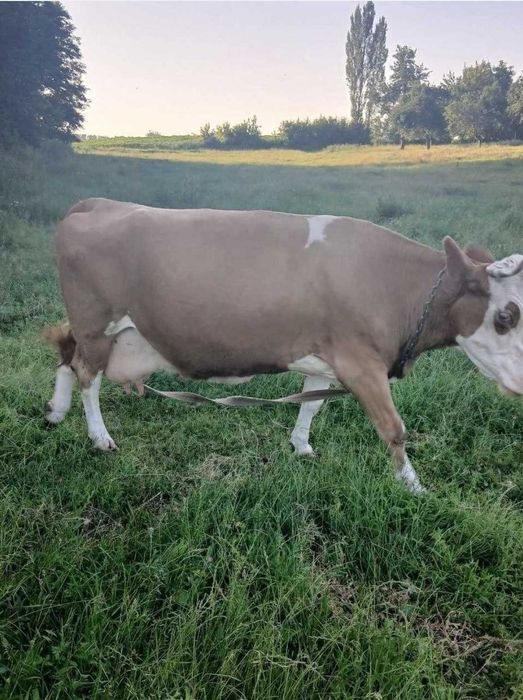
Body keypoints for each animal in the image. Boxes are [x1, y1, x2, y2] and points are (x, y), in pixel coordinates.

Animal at [44, 198, 523, 493]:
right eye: (506, 315)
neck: (392, 286)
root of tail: (98, 203)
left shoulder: (327, 357)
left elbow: (311, 405)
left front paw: (301, 446)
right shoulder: (361, 362)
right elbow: (393, 427)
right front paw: (413, 486)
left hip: (101, 331)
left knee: (67, 354)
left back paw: (56, 412)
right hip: (98, 324)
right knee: (87, 375)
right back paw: (99, 436)